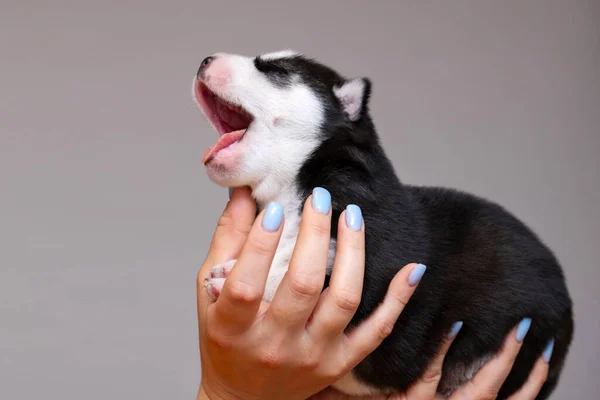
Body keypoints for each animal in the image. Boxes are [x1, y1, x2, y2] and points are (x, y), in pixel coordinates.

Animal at [191, 50, 572, 400]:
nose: (205, 59)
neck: (289, 189)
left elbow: (305, 267)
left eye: (277, 70)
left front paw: (234, 276)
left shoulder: (372, 254)